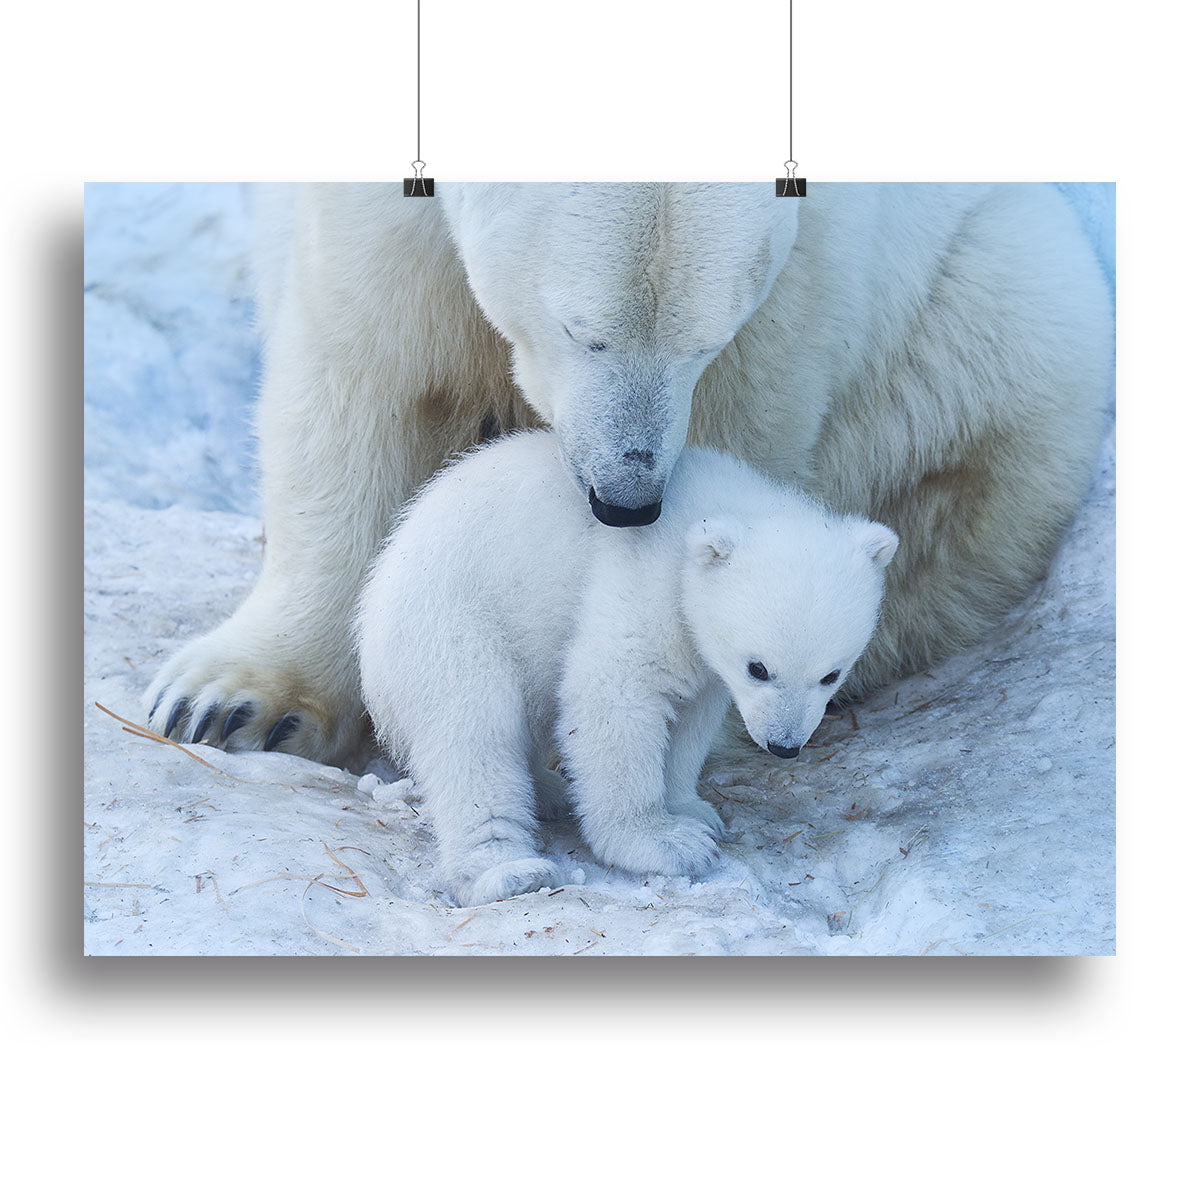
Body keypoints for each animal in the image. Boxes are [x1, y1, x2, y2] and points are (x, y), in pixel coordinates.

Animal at [144, 183, 1111, 770]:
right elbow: (363, 366)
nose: (625, 498)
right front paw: (231, 704)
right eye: (584, 330)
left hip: (990, 310)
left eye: (704, 339)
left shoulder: (803, 276)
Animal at [357, 430, 898, 907]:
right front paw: (667, 843)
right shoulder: (642, 578)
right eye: (758, 668)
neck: (707, 509)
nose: (784, 746)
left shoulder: (701, 650)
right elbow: (613, 696)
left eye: (831, 675)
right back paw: (508, 871)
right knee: (473, 737)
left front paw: (693, 811)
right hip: (452, 626)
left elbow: (691, 716)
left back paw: (549, 791)